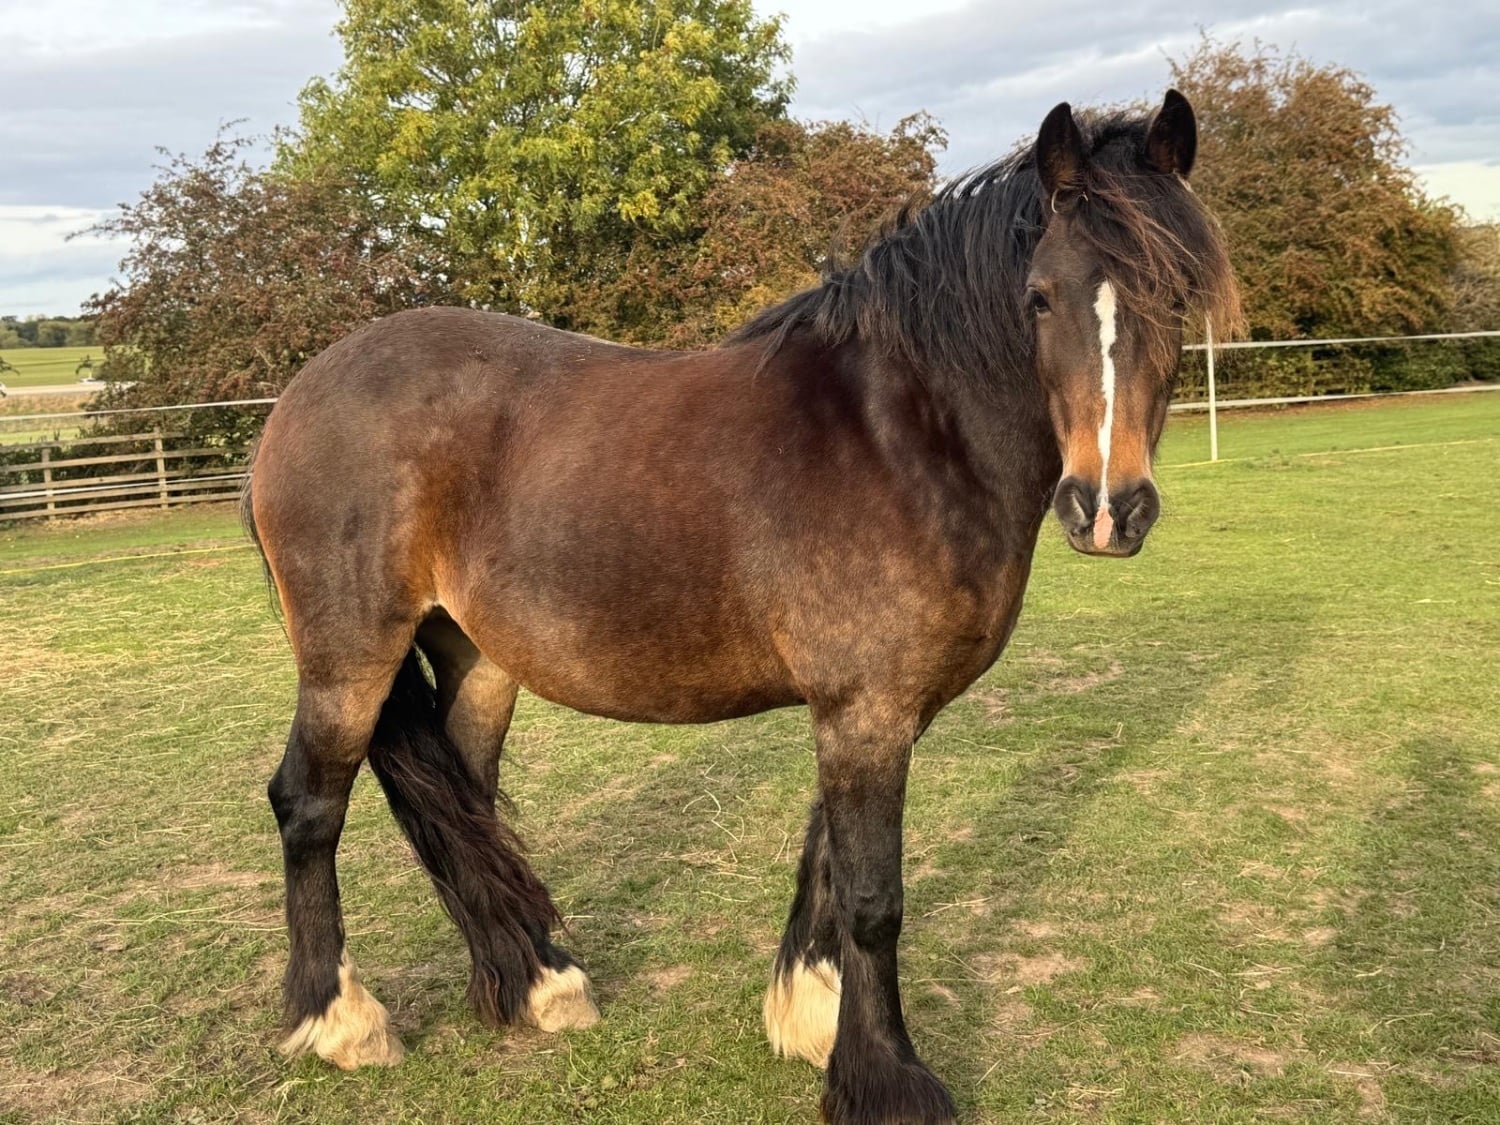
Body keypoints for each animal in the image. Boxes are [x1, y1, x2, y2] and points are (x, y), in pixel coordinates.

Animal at [243, 90, 1238, 1123]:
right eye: (1040, 298)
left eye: (1177, 295)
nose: (1107, 508)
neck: (904, 432)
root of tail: (296, 399)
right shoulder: (866, 708)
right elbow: (874, 897)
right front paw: (886, 1077)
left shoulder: (880, 709)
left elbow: (830, 865)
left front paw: (811, 1021)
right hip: (350, 656)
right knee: (309, 804)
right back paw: (338, 1021)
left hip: (474, 657)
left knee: (461, 803)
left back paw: (534, 985)